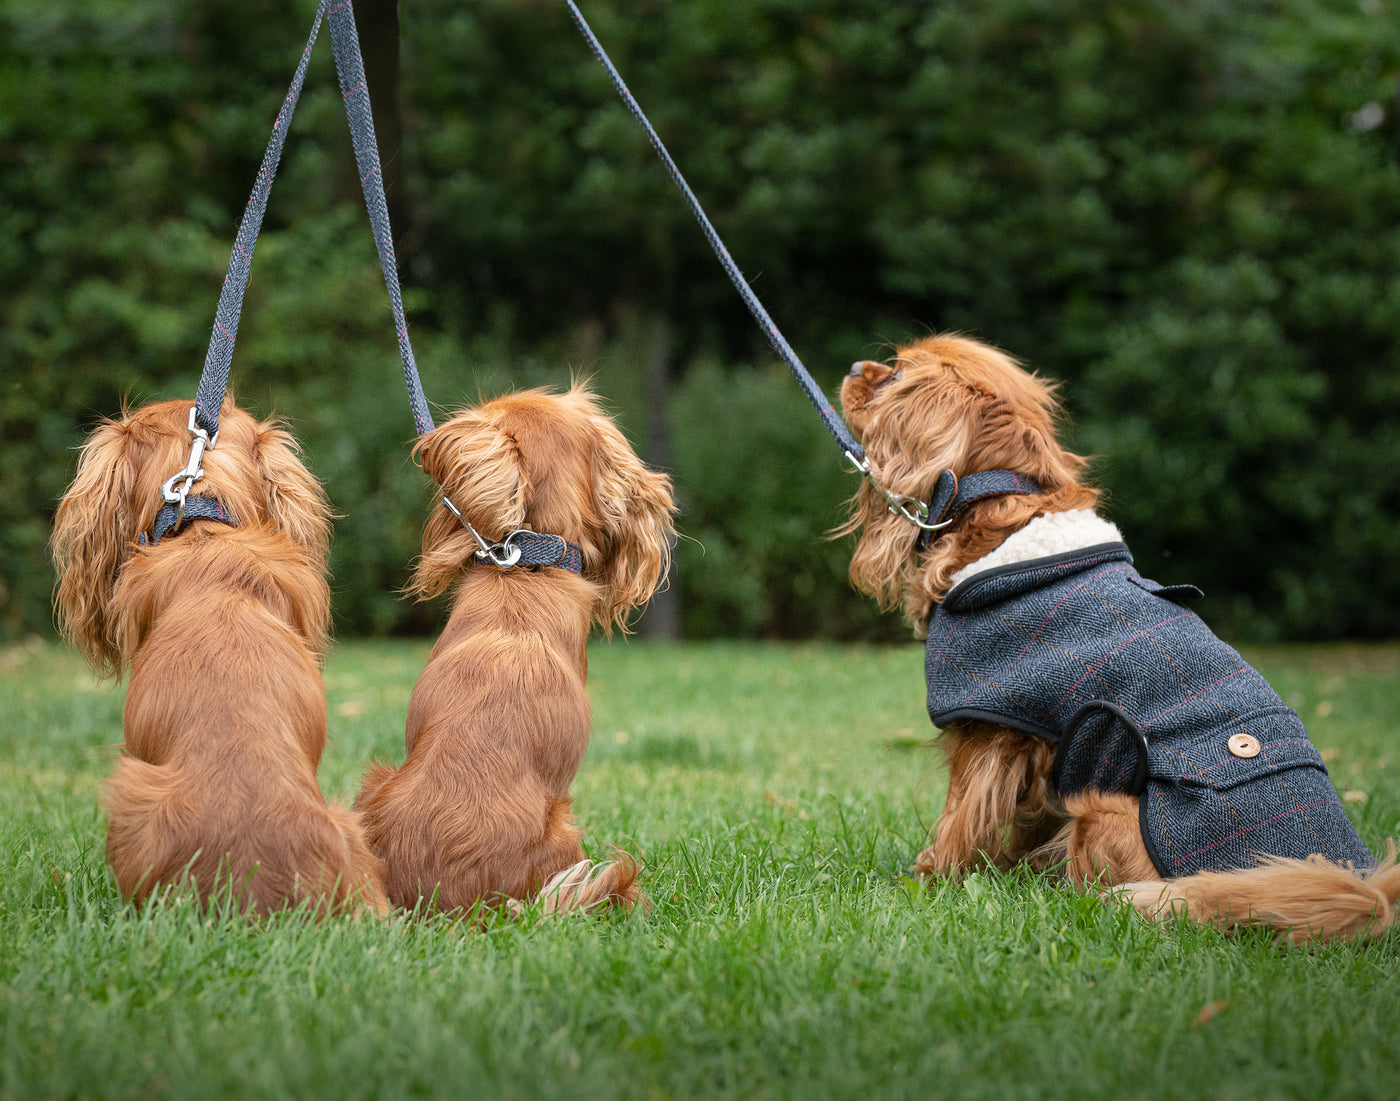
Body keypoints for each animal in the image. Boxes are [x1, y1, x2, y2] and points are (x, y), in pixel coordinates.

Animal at [840, 330, 1400, 941]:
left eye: (895, 374)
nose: (854, 366)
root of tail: (1363, 891)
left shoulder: (991, 732)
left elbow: (958, 818)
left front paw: (923, 883)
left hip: (1102, 808)